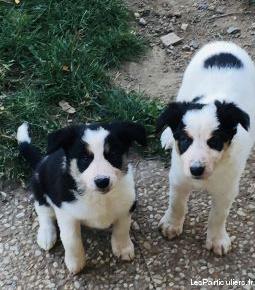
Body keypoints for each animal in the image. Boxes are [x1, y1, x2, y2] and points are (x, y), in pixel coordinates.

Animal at [16, 121, 146, 274]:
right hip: (39, 187)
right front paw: (75, 263)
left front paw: (123, 248)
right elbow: (71, 240)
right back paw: (46, 235)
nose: (102, 181)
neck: (98, 197)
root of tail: (41, 161)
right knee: (43, 212)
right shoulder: (66, 213)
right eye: (85, 158)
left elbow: (122, 228)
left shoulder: (126, 206)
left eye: (113, 154)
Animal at [157, 41, 255, 256]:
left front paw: (217, 239)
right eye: (185, 140)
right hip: (185, 85)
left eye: (215, 141)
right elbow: (176, 204)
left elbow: (218, 215)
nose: (196, 170)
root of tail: (224, 43)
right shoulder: (178, 177)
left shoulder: (227, 188)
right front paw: (171, 225)